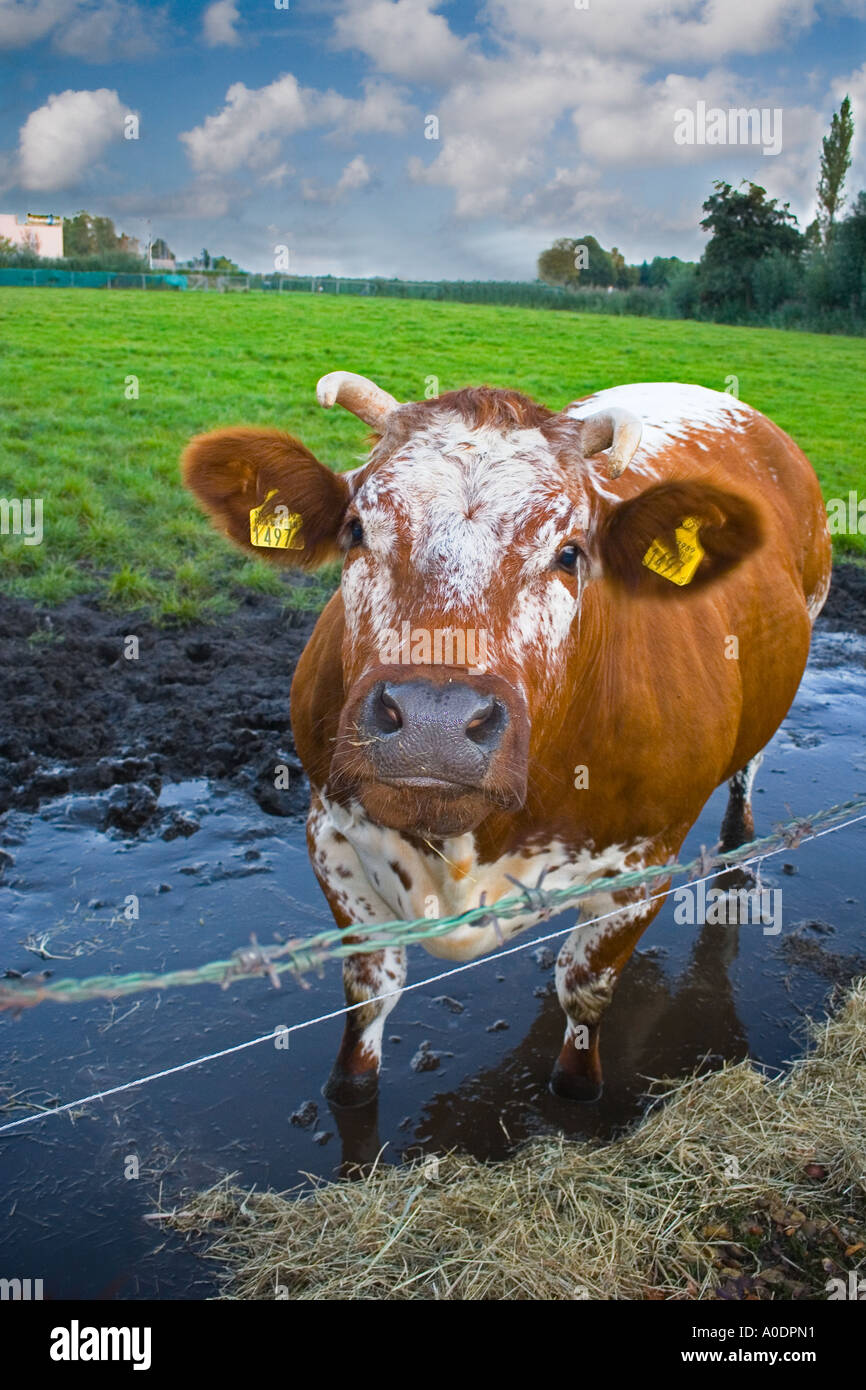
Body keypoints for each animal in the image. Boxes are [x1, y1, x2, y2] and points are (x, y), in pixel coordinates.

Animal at [183, 372, 834, 1106]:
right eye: (356, 530)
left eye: (570, 552)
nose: (434, 720)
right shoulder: (329, 831)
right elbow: (370, 989)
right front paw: (349, 1088)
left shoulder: (648, 860)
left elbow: (585, 991)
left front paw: (577, 1088)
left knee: (750, 764)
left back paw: (737, 844)